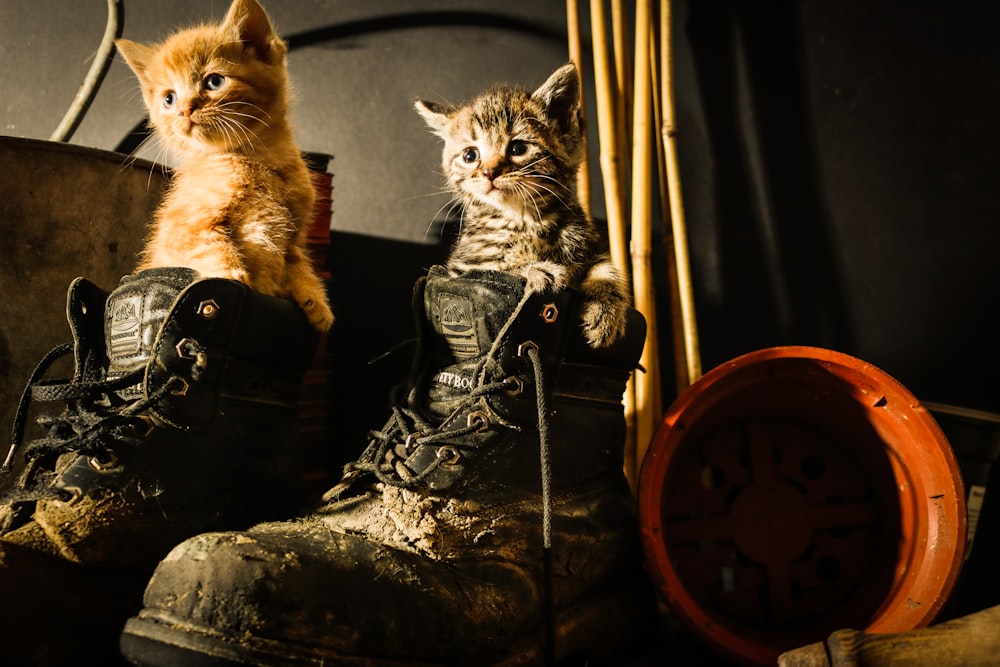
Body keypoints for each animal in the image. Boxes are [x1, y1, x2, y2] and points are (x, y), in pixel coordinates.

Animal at [113, 0, 332, 332]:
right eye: (168, 98)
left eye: (214, 81)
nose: (184, 109)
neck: (255, 160)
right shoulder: (183, 228)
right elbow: (211, 245)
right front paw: (232, 277)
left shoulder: (294, 239)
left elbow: (300, 266)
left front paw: (316, 300)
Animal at [418, 61, 628, 350]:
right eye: (470, 155)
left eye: (518, 148)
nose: (489, 172)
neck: (523, 218)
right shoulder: (463, 266)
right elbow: (496, 269)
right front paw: (535, 270)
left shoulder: (591, 245)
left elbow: (605, 268)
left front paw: (605, 308)